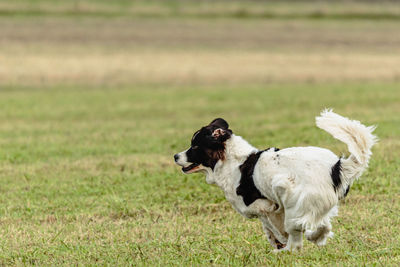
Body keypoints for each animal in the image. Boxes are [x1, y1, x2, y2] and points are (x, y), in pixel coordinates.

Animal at [173, 110, 376, 252]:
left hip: (289, 193)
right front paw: (277, 242)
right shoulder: (272, 209)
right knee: (324, 227)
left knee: (296, 241)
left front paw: (281, 243)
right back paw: (314, 238)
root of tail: (336, 167)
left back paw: (286, 251)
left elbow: (275, 229)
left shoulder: (265, 206)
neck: (232, 161)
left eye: (195, 146)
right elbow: (269, 230)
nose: (175, 156)